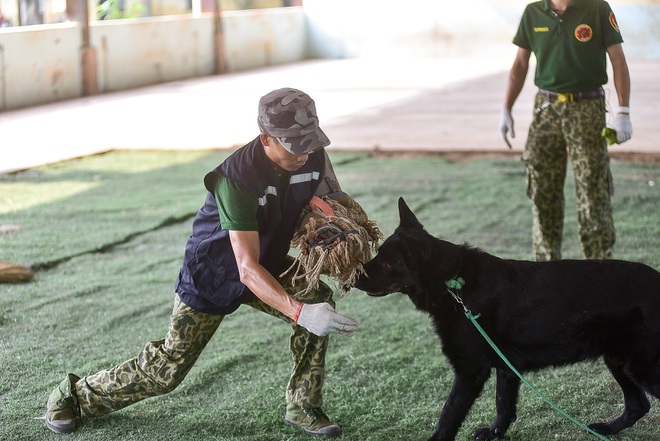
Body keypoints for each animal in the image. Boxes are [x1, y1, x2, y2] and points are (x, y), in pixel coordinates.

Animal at [356, 198, 660, 440]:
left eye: (387, 263)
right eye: (378, 254)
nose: (355, 278)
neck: (452, 282)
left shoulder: (470, 371)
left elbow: (449, 414)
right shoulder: (506, 366)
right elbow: (503, 404)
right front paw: (495, 433)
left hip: (642, 366)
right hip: (619, 360)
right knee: (638, 405)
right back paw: (607, 429)